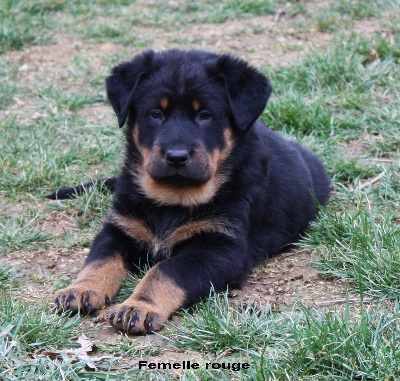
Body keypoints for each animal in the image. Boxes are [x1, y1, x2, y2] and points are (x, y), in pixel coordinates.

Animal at [51, 49, 330, 332]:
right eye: (156, 113)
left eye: (204, 115)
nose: (176, 156)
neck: (172, 198)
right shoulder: (121, 228)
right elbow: (99, 260)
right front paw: (81, 289)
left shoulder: (220, 248)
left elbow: (165, 271)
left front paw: (139, 306)